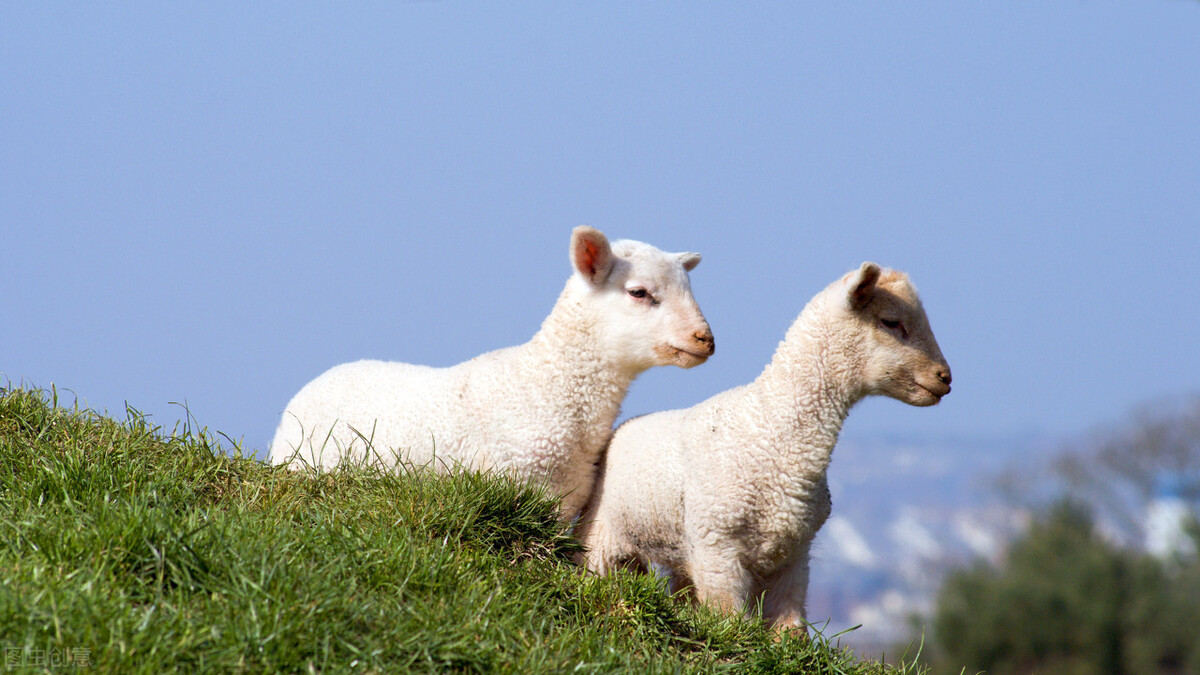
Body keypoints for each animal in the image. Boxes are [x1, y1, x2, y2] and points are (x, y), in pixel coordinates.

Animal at [576, 260, 950, 629]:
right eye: (891, 322)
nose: (945, 377)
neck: (770, 427)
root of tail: (624, 426)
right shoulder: (718, 546)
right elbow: (727, 619)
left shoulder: (793, 553)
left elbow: (789, 630)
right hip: (602, 535)